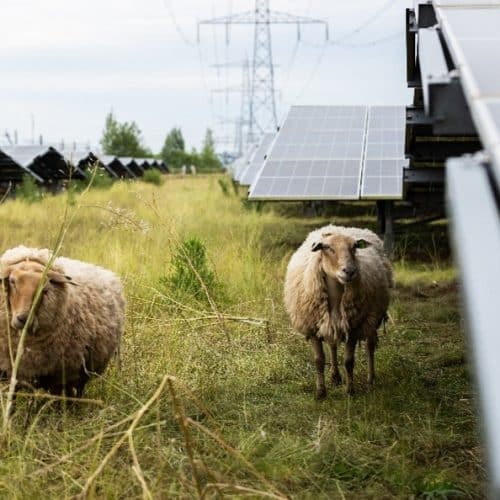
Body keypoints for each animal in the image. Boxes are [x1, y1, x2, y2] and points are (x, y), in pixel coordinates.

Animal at [284, 225, 392, 400]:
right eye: (327, 247)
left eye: (354, 247)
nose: (349, 271)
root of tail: (338, 227)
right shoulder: (313, 328)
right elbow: (319, 360)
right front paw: (321, 393)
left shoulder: (354, 327)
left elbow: (349, 361)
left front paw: (350, 391)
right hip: (331, 322)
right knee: (332, 345)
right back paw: (335, 377)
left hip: (371, 317)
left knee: (370, 347)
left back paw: (371, 380)